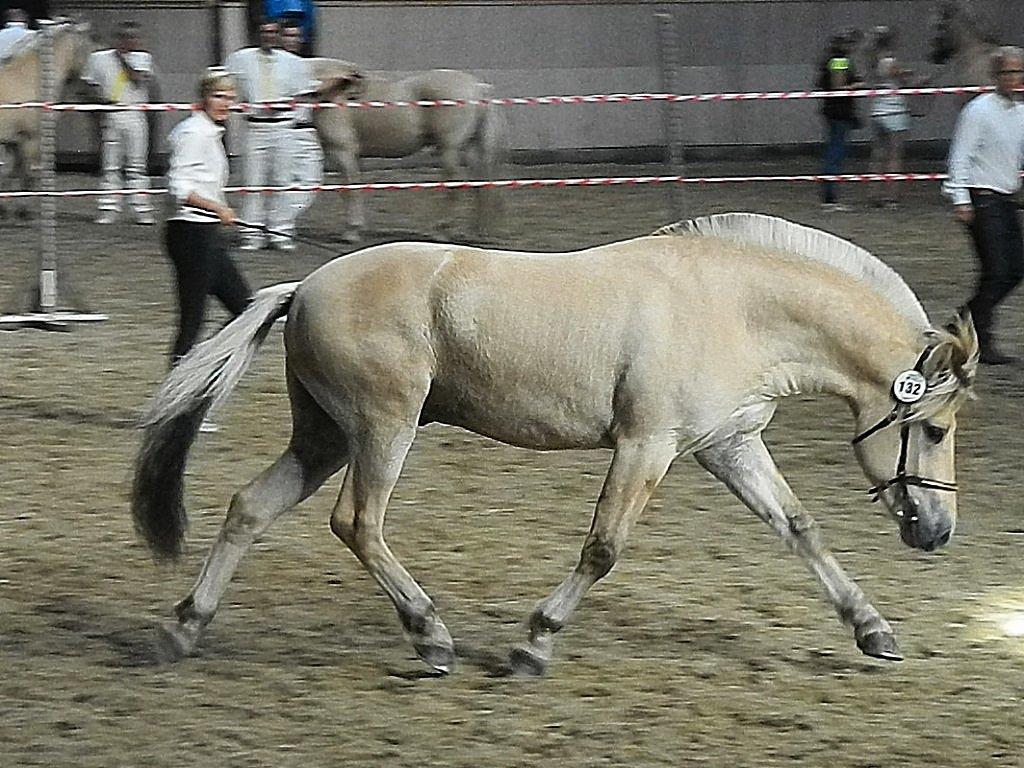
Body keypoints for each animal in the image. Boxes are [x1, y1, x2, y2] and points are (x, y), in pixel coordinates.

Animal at [0, 20, 92, 218]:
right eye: (87, 47)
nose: (89, 84)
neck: (31, 79)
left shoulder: (14, 142)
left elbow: (11, 174)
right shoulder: (30, 140)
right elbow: (27, 176)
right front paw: (23, 211)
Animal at [134, 215, 974, 671]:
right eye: (934, 429)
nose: (938, 532)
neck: (734, 307)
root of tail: (304, 286)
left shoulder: (728, 446)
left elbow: (800, 529)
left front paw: (873, 630)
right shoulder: (646, 445)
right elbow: (602, 549)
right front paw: (533, 644)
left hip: (325, 437)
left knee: (249, 507)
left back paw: (183, 627)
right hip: (382, 427)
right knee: (358, 523)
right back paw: (431, 637)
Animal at [311, 58, 503, 241]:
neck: (335, 91)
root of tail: (477, 87)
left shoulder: (342, 152)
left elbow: (350, 190)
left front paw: (351, 231)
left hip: (449, 150)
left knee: (454, 187)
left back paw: (440, 231)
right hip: (471, 150)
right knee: (478, 185)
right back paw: (473, 232)